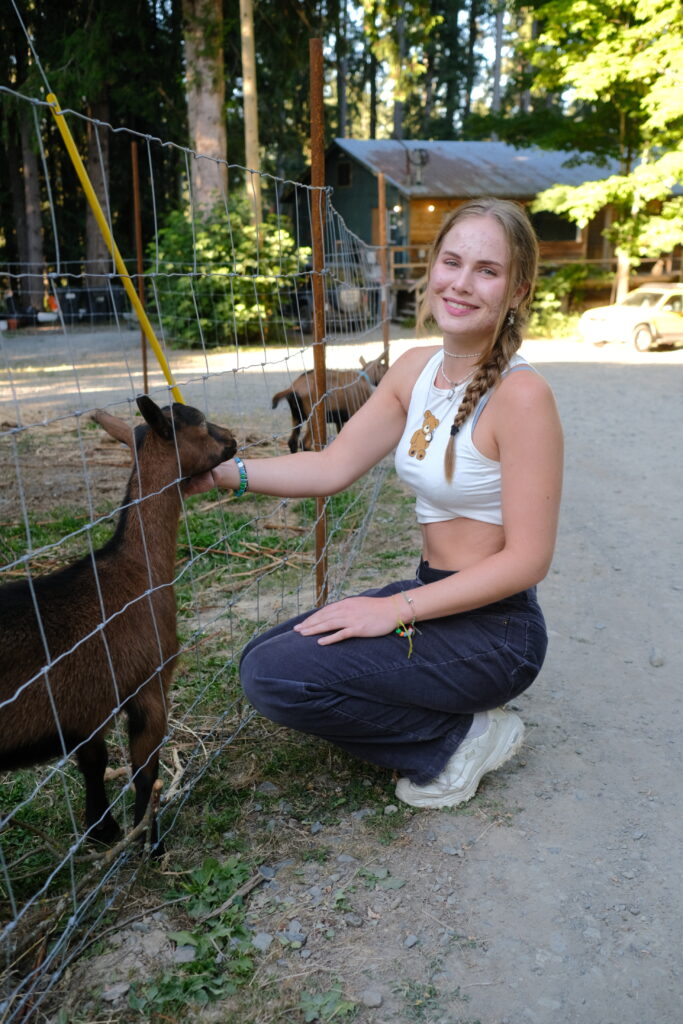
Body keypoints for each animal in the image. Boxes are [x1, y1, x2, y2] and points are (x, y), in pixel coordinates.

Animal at [0, 395, 237, 851]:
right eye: (200, 423)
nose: (233, 439)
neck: (135, 571)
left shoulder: (87, 713)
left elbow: (94, 763)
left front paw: (102, 829)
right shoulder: (149, 685)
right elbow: (145, 773)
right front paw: (150, 842)